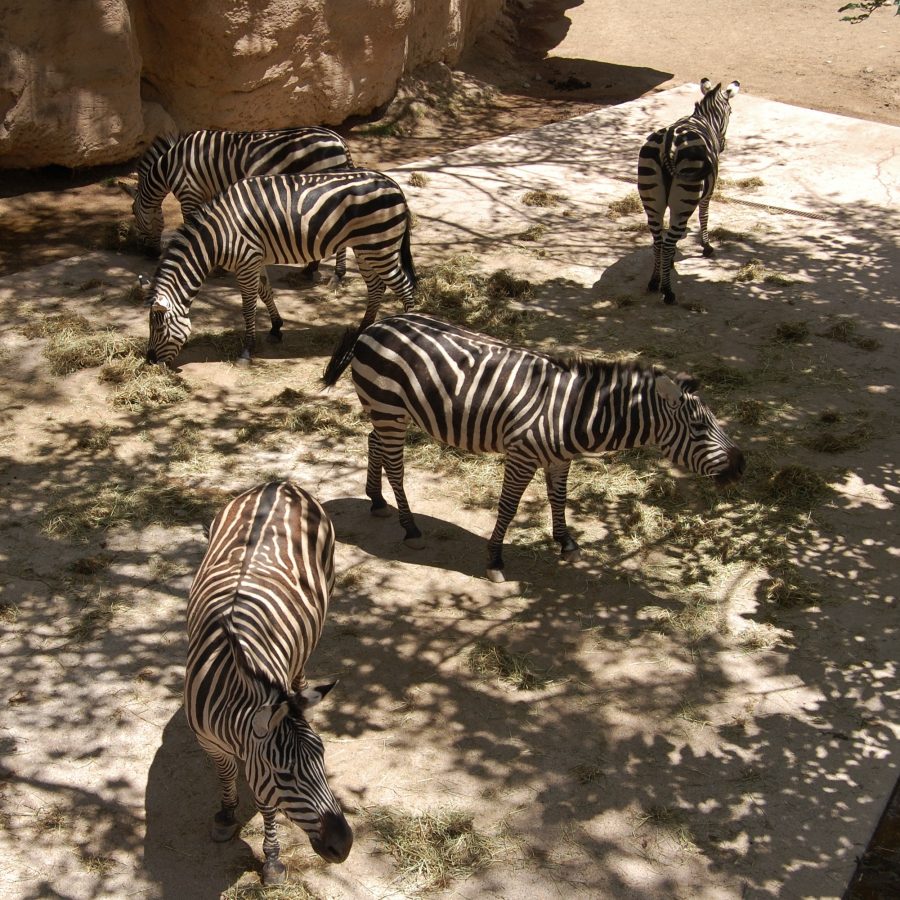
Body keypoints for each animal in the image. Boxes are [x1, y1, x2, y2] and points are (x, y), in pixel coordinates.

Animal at [142, 169, 418, 366]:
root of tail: (393, 183)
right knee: (377, 287)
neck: (217, 236)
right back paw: (363, 328)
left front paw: (247, 350)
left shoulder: (246, 261)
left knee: (404, 287)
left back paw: (407, 330)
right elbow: (265, 293)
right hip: (367, 248)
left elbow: (248, 307)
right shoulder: (256, 259)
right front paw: (276, 327)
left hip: (380, 246)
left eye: (159, 328)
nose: (150, 360)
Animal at [185, 482, 352, 884]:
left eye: (323, 757)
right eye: (285, 774)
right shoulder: (210, 741)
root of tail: (278, 485)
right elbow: (227, 774)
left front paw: (272, 858)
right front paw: (226, 814)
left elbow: (266, 806)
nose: (345, 846)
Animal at [324, 314, 744, 584]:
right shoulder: (522, 455)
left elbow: (559, 499)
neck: (574, 412)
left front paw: (566, 542)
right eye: (698, 428)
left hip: (387, 411)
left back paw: (376, 500)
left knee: (373, 442)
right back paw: (409, 527)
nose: (741, 466)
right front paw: (495, 559)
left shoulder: (559, 460)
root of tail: (376, 325)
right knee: (396, 466)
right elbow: (509, 507)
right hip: (389, 409)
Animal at [636, 78, 740, 302]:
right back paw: (668, 292)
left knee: (658, 241)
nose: (723, 146)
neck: (703, 119)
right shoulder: (708, 192)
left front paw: (671, 261)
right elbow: (704, 215)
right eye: (731, 112)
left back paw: (655, 281)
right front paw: (706, 247)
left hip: (652, 200)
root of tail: (667, 142)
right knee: (666, 242)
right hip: (684, 199)